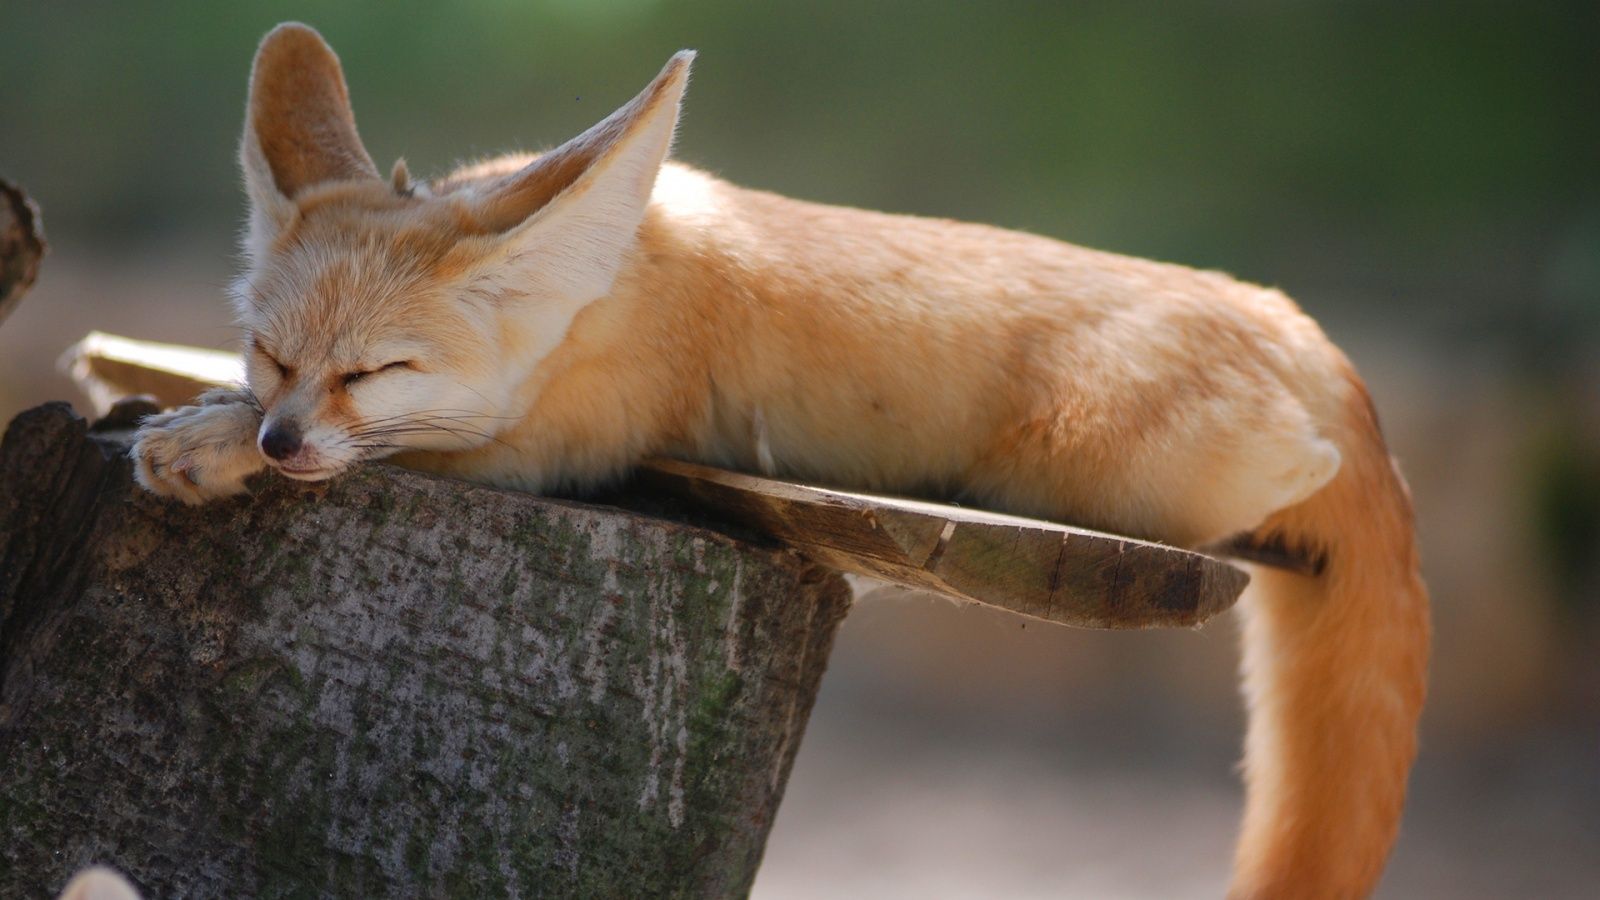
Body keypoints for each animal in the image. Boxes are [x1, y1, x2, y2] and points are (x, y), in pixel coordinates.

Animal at [131, 22, 1429, 899]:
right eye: (272, 354)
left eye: (374, 373)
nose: (280, 435)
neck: (610, 289)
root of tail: (1295, 322)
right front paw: (194, 410)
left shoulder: (559, 447)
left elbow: (392, 458)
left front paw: (202, 442)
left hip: (1088, 460)